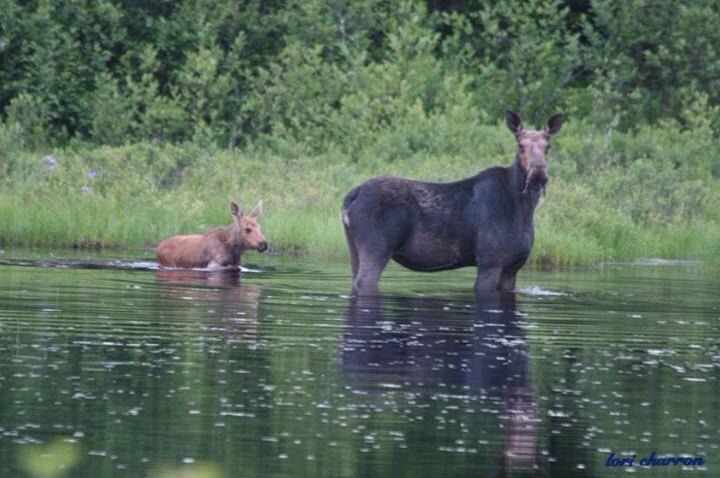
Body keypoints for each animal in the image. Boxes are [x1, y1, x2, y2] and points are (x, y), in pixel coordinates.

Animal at [344, 111, 564, 296]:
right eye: (520, 145)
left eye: (548, 146)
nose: (538, 173)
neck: (524, 211)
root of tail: (351, 196)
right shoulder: (489, 262)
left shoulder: (513, 268)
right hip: (376, 248)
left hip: (353, 247)